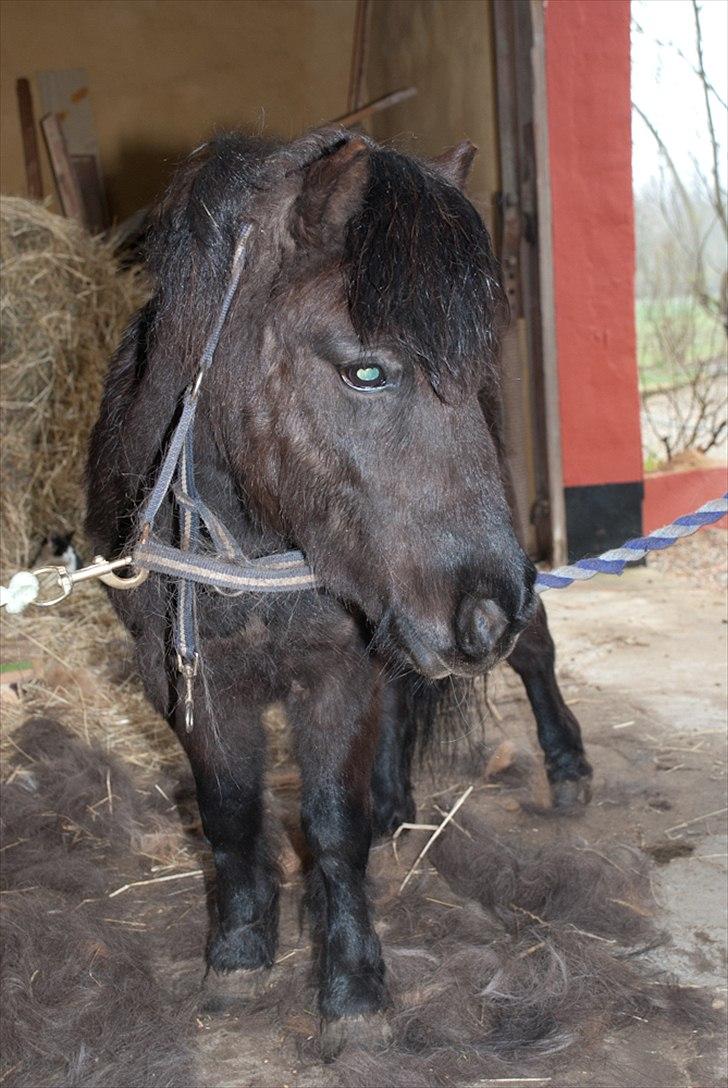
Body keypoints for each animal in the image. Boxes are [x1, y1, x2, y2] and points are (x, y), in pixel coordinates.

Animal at [86, 129, 591, 1053]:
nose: (483, 614)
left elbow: (329, 825)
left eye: (471, 371)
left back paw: (566, 764)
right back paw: (397, 797)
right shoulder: (187, 682)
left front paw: (353, 988)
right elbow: (230, 812)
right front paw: (240, 949)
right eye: (365, 372)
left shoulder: (334, 671)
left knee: (535, 653)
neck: (245, 551)